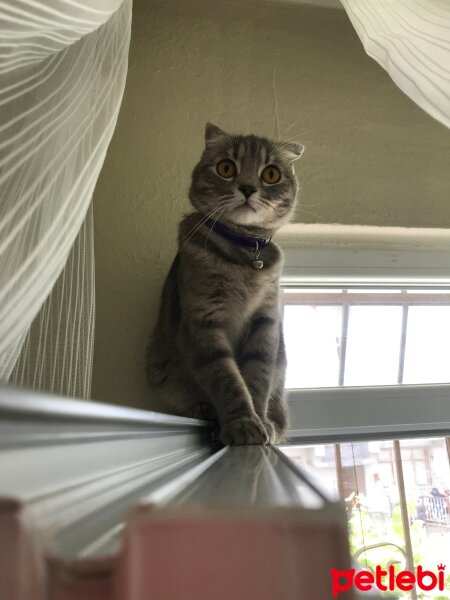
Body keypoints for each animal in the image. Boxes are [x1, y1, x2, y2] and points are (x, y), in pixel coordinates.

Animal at [147, 123, 302, 446]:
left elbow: (258, 378)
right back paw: (204, 408)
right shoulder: (203, 322)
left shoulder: (265, 324)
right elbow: (226, 378)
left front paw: (260, 423)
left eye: (271, 174)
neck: (244, 255)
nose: (247, 188)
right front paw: (243, 424)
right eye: (226, 168)